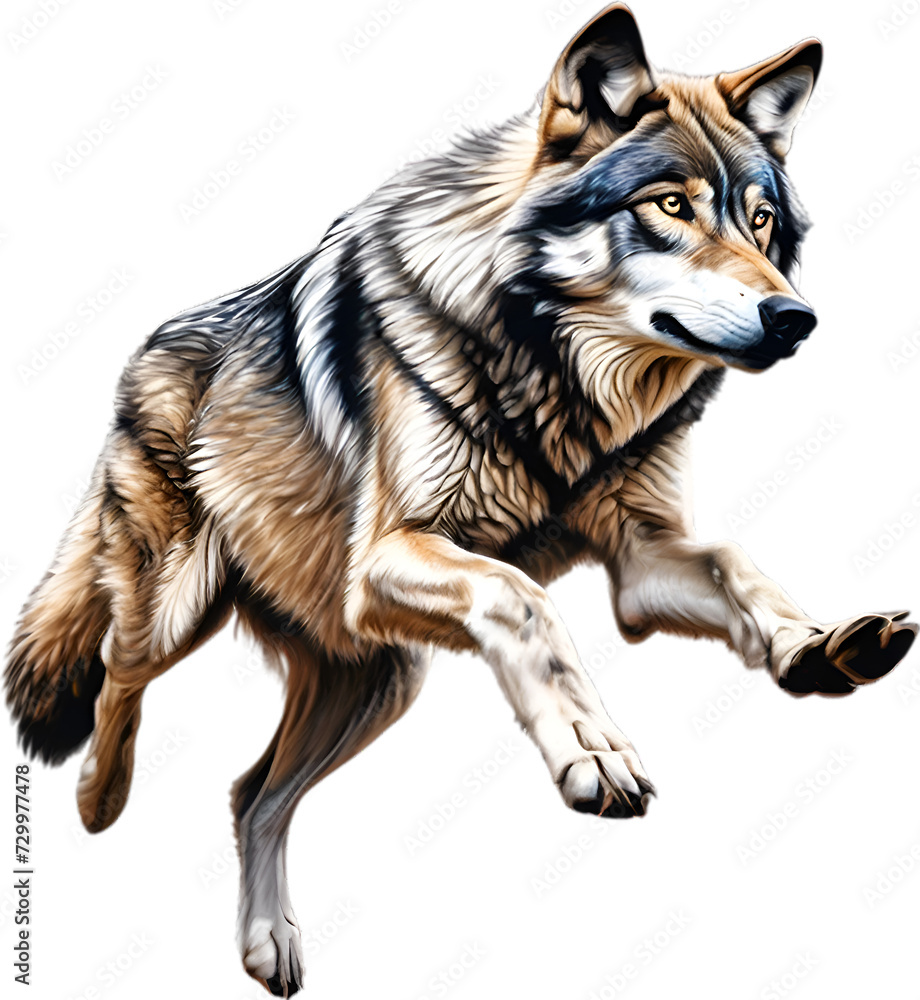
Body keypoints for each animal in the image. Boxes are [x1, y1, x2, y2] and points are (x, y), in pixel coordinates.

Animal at [5, 4, 915, 995]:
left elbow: (738, 564)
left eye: (760, 220)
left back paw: (268, 944)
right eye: (670, 206)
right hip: (180, 608)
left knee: (254, 794)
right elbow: (526, 603)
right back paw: (97, 797)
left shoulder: (640, 558)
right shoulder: (394, 556)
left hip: (379, 680)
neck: (564, 386)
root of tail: (146, 351)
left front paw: (815, 644)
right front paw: (594, 751)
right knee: (116, 674)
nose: (797, 319)